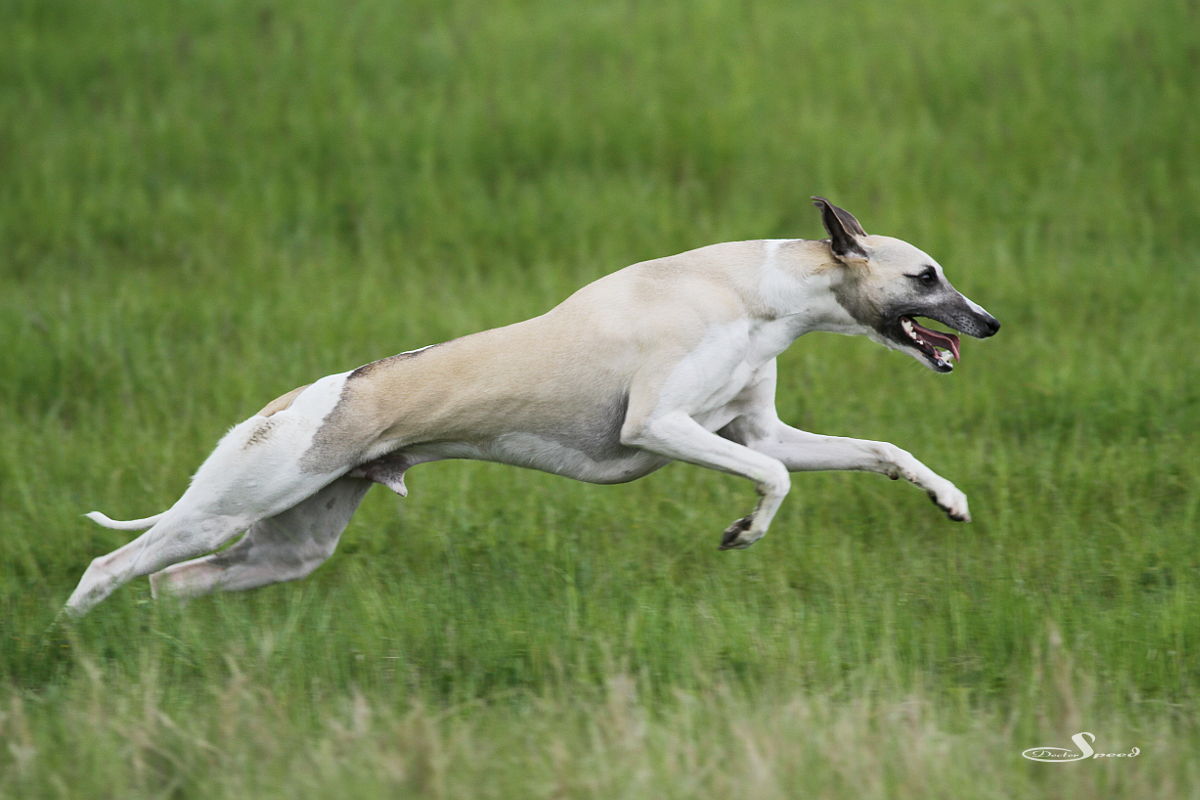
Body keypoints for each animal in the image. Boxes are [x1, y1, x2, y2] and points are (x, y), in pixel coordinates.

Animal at [65, 196, 1003, 618]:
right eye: (927, 276)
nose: (991, 323)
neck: (754, 289)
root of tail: (293, 400)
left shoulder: (756, 426)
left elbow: (879, 450)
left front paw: (949, 498)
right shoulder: (661, 425)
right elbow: (773, 477)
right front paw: (745, 530)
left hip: (287, 546)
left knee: (172, 580)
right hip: (230, 504)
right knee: (109, 566)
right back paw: (72, 640)